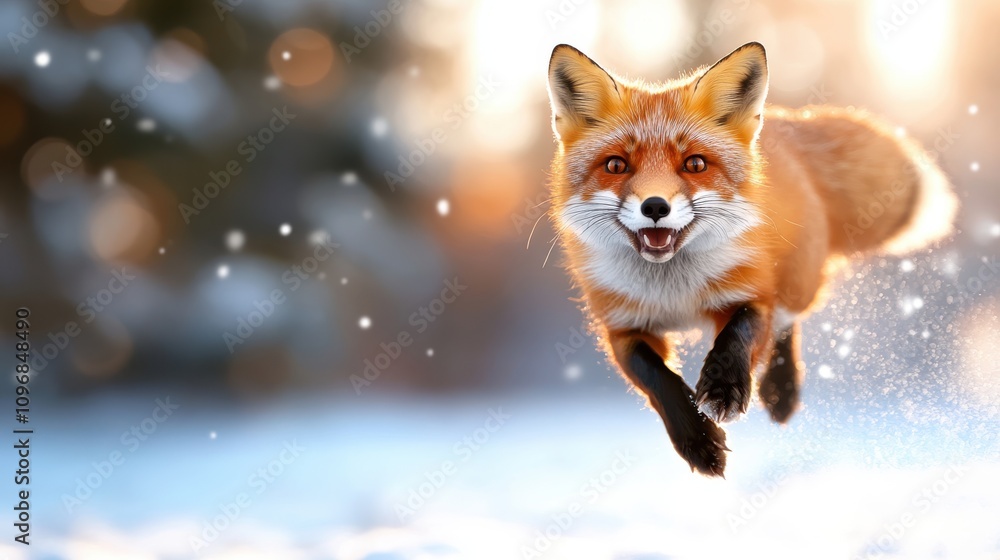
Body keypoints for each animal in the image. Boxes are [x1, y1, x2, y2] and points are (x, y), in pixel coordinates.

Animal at [546, 42, 957, 476]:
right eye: (616, 165)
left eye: (695, 164)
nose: (655, 206)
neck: (675, 293)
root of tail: (786, 121)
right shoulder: (621, 327)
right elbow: (656, 377)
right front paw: (698, 441)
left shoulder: (752, 292)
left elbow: (739, 335)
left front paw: (724, 389)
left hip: (797, 284)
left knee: (786, 324)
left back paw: (781, 391)